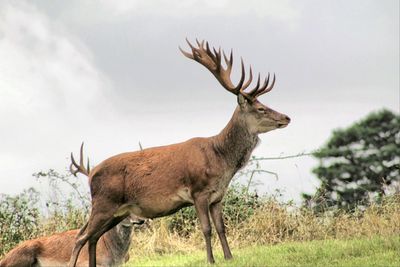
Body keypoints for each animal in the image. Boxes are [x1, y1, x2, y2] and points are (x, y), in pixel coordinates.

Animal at [67, 38, 290, 266]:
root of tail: (91, 174)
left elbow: (221, 227)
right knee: (81, 237)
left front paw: (229, 257)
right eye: (261, 109)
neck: (220, 161)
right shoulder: (198, 191)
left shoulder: (217, 196)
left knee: (93, 237)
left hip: (118, 211)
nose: (287, 117)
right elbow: (206, 229)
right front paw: (211, 260)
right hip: (103, 203)